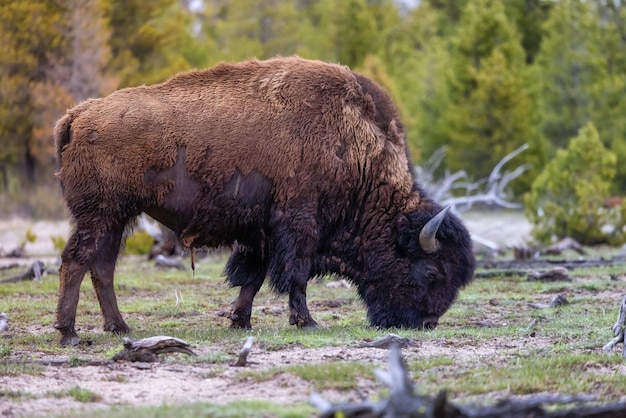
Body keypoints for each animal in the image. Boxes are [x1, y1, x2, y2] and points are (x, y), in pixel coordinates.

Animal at [53, 57, 472, 348]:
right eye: (432, 272)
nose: (425, 323)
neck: (354, 149)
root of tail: (79, 114)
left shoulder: (261, 232)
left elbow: (252, 278)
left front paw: (240, 320)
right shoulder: (299, 225)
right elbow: (295, 275)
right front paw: (306, 321)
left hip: (117, 217)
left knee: (102, 266)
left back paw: (118, 326)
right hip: (101, 214)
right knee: (76, 260)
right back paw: (69, 333)